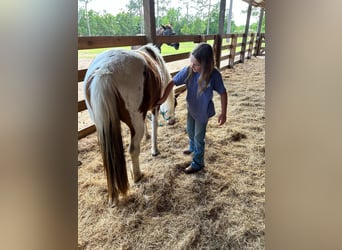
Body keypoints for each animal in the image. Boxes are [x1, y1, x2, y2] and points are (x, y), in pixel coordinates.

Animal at [84, 44, 175, 205]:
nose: (172, 121)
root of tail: (104, 70)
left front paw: (147, 137)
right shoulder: (154, 106)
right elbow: (154, 125)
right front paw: (154, 149)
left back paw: (113, 196)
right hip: (135, 123)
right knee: (133, 149)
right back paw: (138, 175)